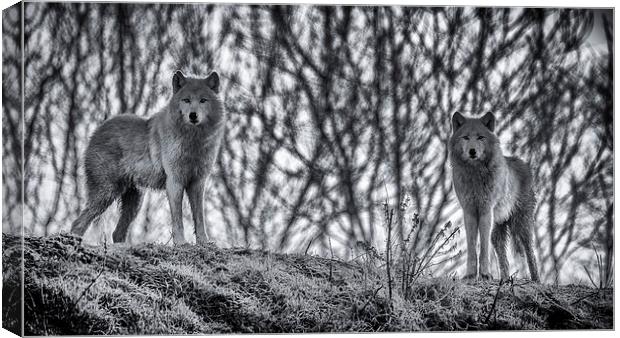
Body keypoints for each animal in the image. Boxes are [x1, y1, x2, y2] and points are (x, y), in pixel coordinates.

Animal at [71, 70, 225, 246]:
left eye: (203, 100)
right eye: (186, 100)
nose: (193, 115)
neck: (193, 141)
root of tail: (96, 132)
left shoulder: (198, 183)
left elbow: (200, 219)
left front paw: (204, 242)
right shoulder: (174, 182)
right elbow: (178, 220)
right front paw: (180, 243)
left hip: (135, 202)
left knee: (116, 233)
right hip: (106, 194)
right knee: (78, 223)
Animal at [450, 112, 536, 282]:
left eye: (480, 137)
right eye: (465, 137)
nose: (472, 151)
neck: (475, 175)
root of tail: (522, 163)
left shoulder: (486, 211)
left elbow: (483, 247)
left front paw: (485, 274)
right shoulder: (469, 212)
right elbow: (472, 246)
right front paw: (470, 275)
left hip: (521, 224)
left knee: (530, 253)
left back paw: (536, 280)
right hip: (498, 231)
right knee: (504, 258)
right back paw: (505, 280)